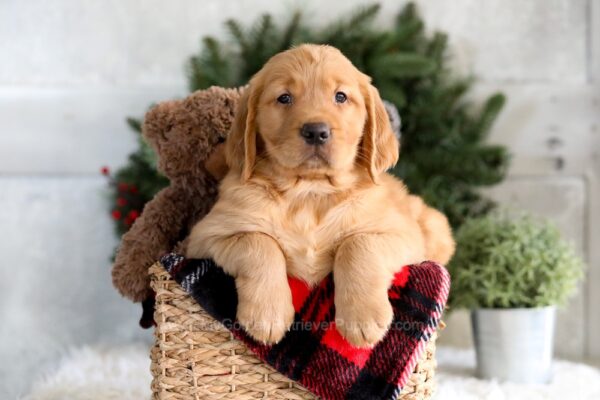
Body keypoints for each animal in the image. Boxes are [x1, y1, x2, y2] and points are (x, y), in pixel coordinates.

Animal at [188, 43, 454, 346]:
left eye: (340, 96)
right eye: (284, 98)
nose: (316, 131)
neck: (310, 192)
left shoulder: (403, 234)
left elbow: (358, 244)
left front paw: (362, 318)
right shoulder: (205, 236)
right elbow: (258, 242)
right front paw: (267, 315)